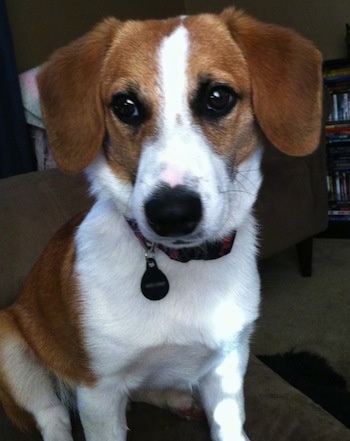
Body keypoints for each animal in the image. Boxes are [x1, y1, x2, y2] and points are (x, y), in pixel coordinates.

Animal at [0, 6, 322, 440]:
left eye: (218, 97)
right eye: (126, 105)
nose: (171, 214)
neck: (178, 265)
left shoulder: (228, 364)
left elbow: (229, 425)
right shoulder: (97, 395)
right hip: (12, 345)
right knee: (53, 417)